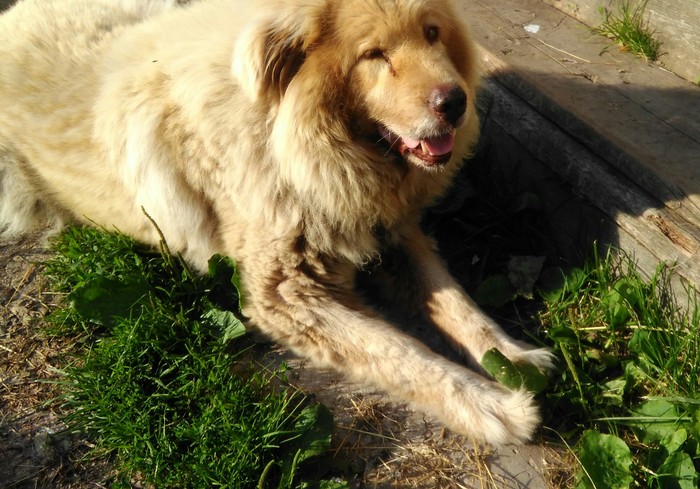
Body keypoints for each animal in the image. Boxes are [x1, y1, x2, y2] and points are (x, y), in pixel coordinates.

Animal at [0, 0, 552, 442]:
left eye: (432, 33)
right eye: (374, 55)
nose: (456, 103)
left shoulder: (390, 229)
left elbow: (458, 303)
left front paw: (514, 359)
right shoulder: (286, 295)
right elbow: (401, 353)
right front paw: (492, 406)